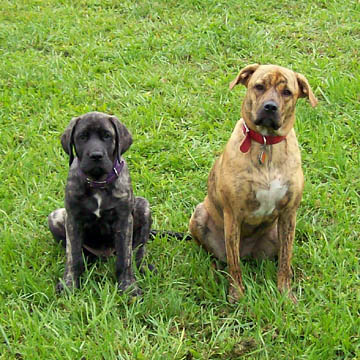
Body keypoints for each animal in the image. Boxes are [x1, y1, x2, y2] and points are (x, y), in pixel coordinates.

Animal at [48, 112, 152, 296]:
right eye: (82, 136)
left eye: (107, 136)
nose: (96, 155)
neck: (98, 182)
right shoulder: (72, 219)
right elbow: (73, 255)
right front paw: (69, 284)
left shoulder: (124, 220)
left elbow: (125, 258)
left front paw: (128, 287)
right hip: (55, 216)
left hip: (143, 206)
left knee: (139, 249)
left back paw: (143, 266)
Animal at [190, 64, 316, 300]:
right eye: (259, 86)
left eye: (287, 92)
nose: (270, 107)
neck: (266, 143)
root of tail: (248, 252)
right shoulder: (233, 214)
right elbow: (234, 266)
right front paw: (237, 294)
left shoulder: (289, 213)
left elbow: (285, 259)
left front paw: (285, 293)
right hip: (200, 216)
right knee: (221, 257)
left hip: (276, 232)